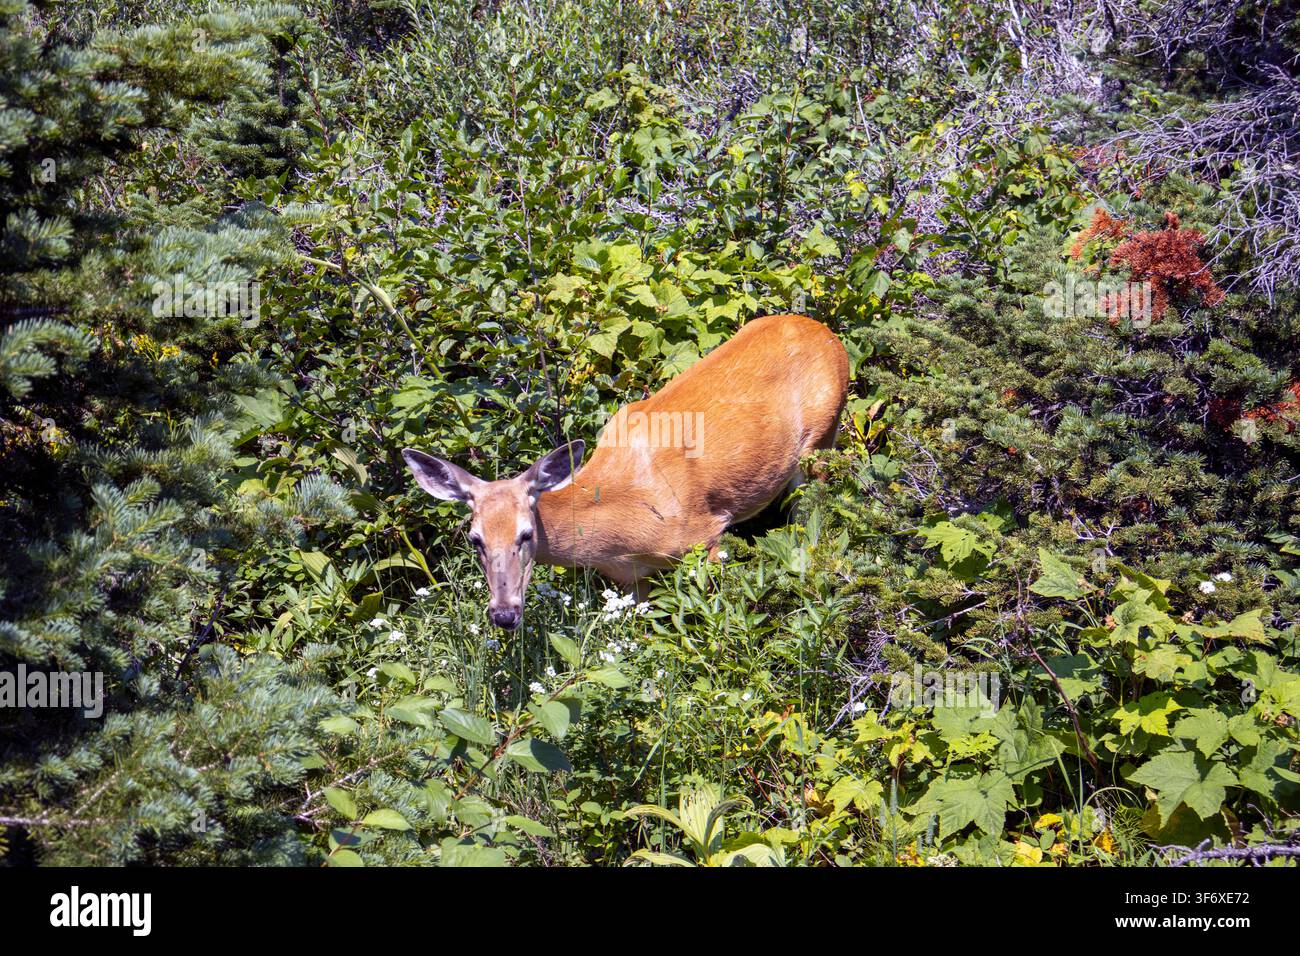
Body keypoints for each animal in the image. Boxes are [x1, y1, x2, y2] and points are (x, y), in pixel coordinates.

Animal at [402, 313, 849, 630]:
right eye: (475, 539)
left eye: (525, 534)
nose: (504, 615)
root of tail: (828, 334)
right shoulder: (631, 578)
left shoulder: (706, 532)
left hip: (820, 439)